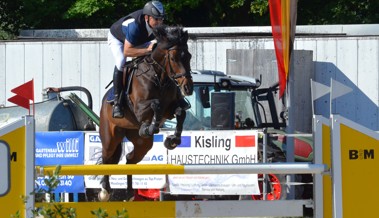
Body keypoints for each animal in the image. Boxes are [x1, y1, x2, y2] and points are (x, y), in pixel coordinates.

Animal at [98, 25, 193, 201]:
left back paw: (129, 194)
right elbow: (156, 104)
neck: (159, 76)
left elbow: (180, 113)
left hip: (143, 144)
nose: (188, 88)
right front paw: (149, 127)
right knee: (107, 159)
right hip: (110, 137)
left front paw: (172, 140)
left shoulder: (171, 109)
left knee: (130, 160)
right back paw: (105, 192)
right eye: (174, 58)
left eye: (189, 56)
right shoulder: (140, 108)